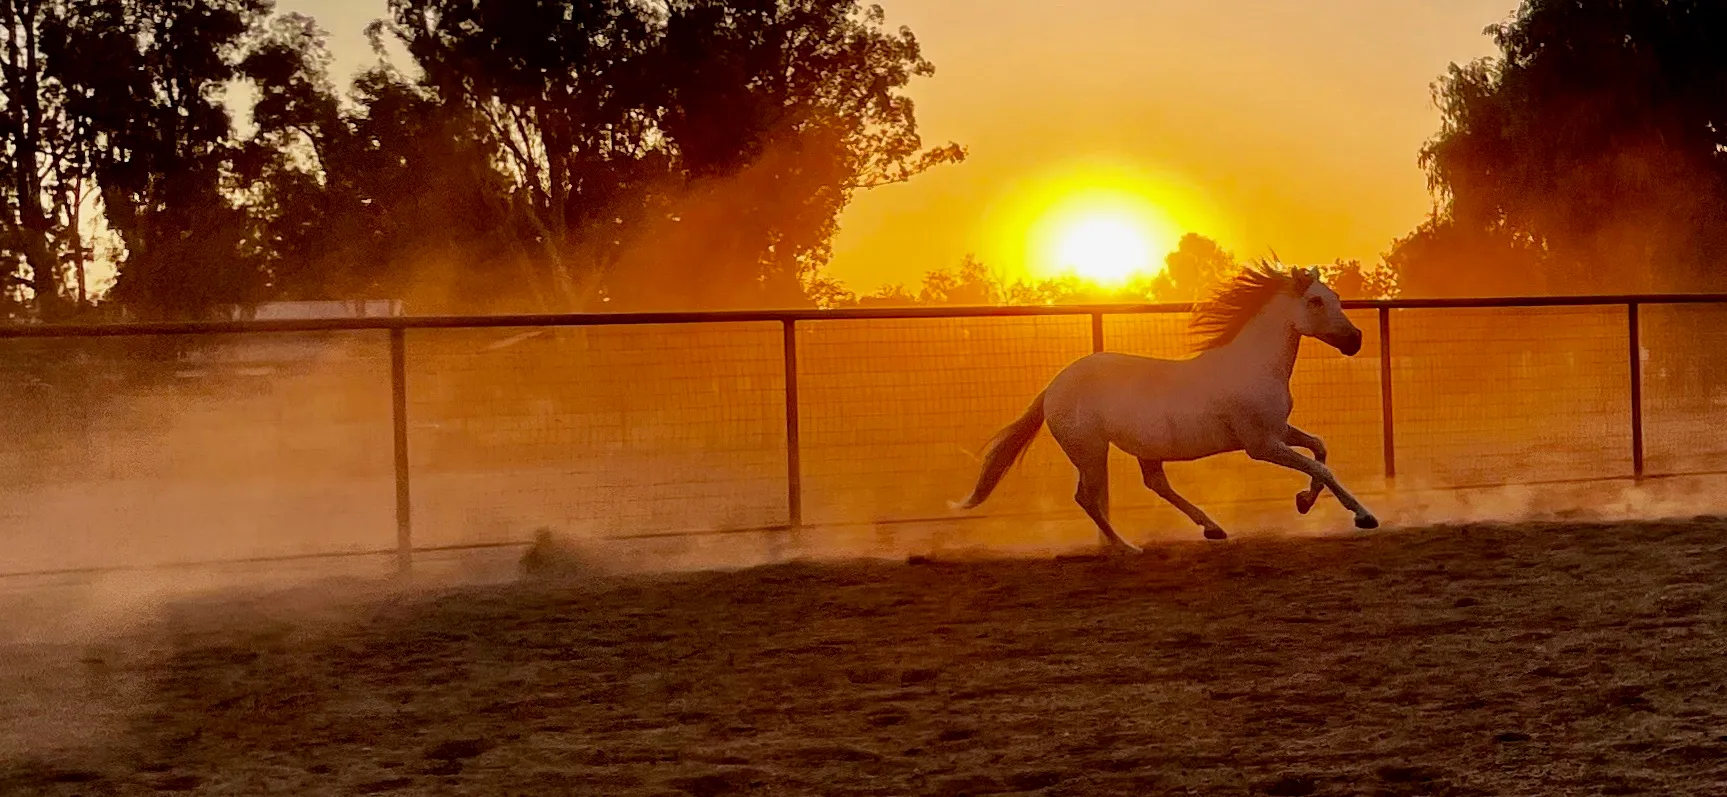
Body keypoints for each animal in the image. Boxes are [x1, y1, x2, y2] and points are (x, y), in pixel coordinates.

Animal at [952, 262, 1378, 552]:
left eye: (1336, 297)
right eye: (1315, 300)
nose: (1355, 340)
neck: (1252, 365)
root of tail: (1052, 388)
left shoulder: (1279, 431)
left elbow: (1320, 448)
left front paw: (1304, 502)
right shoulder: (1261, 445)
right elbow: (1320, 465)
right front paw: (1363, 516)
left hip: (1143, 450)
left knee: (1155, 484)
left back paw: (1212, 528)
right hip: (1090, 451)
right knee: (1088, 497)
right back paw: (1128, 548)